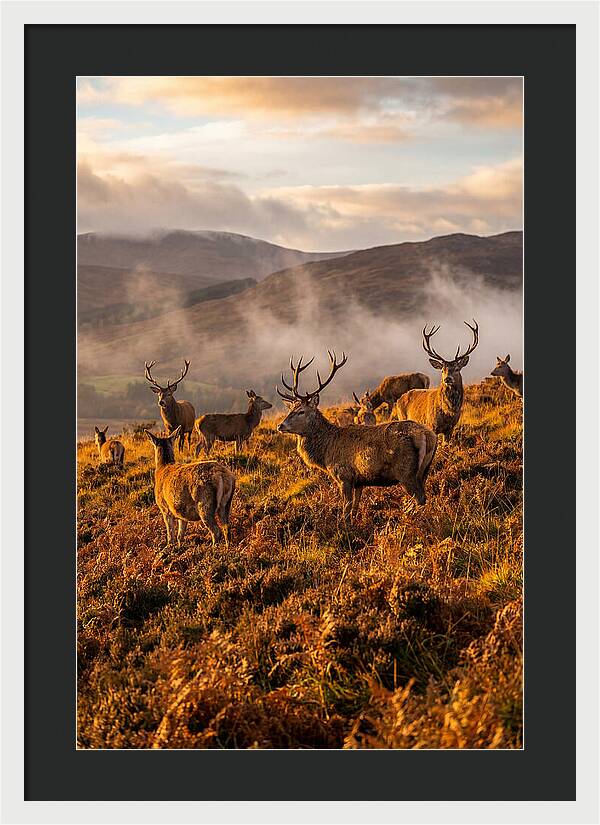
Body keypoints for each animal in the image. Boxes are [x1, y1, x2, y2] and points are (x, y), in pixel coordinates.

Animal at [276, 351, 437, 521]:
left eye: (301, 411)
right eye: (290, 410)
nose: (280, 425)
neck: (326, 452)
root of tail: (427, 435)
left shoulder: (343, 476)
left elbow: (346, 510)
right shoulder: (360, 481)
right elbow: (355, 508)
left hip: (406, 472)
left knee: (419, 498)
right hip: (425, 469)